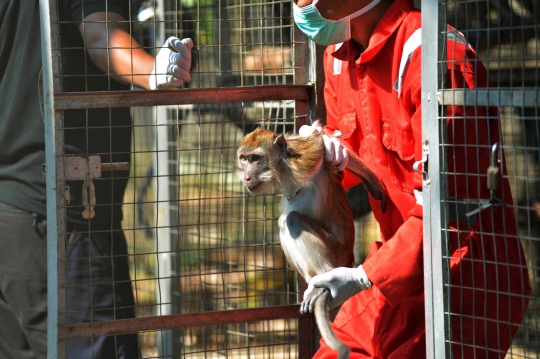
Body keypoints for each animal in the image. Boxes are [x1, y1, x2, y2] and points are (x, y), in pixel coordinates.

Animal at [236, 124, 388, 359]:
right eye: (243, 159)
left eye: (255, 158)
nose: (246, 176)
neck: (282, 170)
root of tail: (349, 258)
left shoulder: (303, 159)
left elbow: (321, 145)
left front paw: (370, 177)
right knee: (284, 222)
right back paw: (313, 283)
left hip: (335, 251)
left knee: (292, 220)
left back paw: (324, 282)